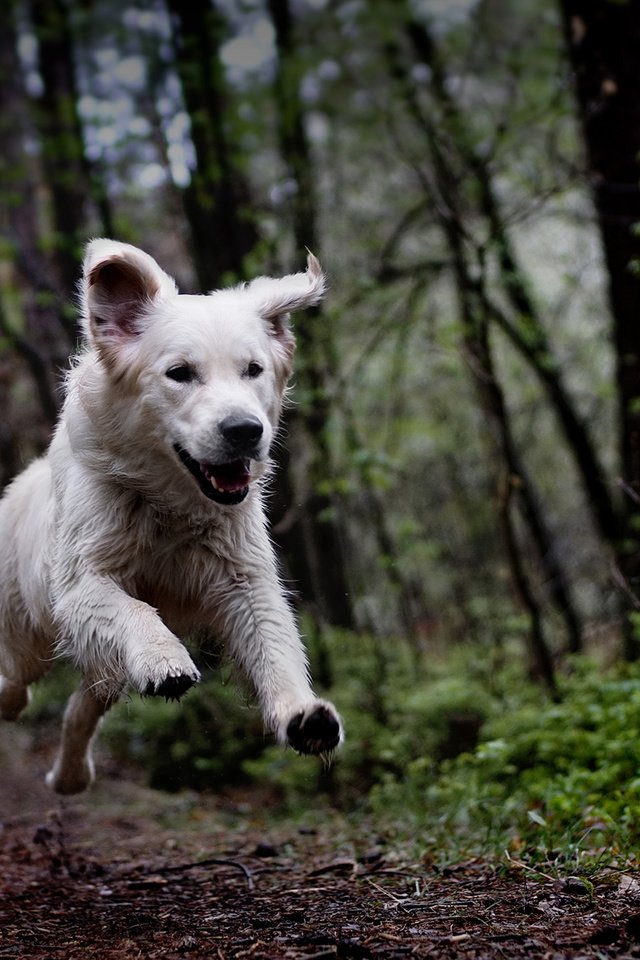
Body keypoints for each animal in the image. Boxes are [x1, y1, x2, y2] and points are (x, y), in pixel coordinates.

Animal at [0, 240, 342, 796]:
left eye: (253, 369)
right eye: (180, 373)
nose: (245, 430)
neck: (168, 505)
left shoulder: (244, 578)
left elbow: (275, 644)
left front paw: (303, 715)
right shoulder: (80, 583)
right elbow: (136, 610)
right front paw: (167, 661)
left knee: (83, 702)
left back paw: (70, 776)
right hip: (24, 634)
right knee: (14, 682)